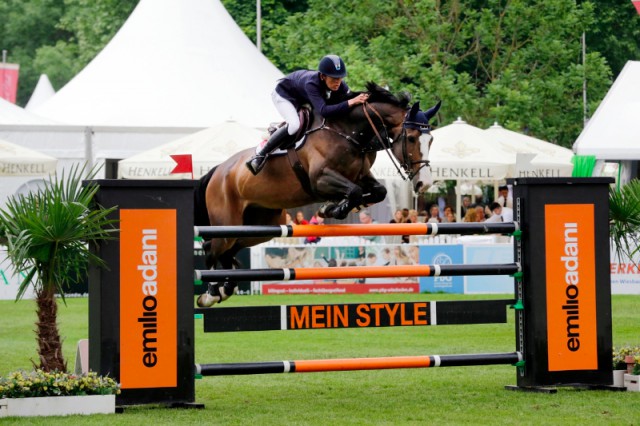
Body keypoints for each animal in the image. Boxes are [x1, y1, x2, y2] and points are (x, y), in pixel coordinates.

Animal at [195, 81, 440, 306]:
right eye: (411, 138)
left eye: (431, 140)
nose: (424, 184)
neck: (348, 132)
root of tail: (218, 170)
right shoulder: (320, 180)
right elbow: (354, 191)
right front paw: (333, 208)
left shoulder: (361, 175)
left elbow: (377, 191)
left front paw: (332, 207)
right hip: (227, 223)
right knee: (212, 248)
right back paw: (211, 293)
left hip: (259, 227)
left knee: (228, 250)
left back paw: (226, 288)